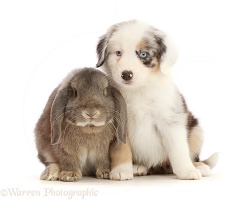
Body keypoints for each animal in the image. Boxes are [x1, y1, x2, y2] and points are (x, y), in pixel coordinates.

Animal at [96, 19, 218, 180]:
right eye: (118, 53)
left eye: (143, 54)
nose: (126, 74)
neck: (139, 90)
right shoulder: (119, 122)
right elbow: (121, 148)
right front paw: (121, 171)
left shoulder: (171, 119)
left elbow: (179, 149)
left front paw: (187, 171)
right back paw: (138, 167)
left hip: (196, 130)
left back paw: (199, 166)